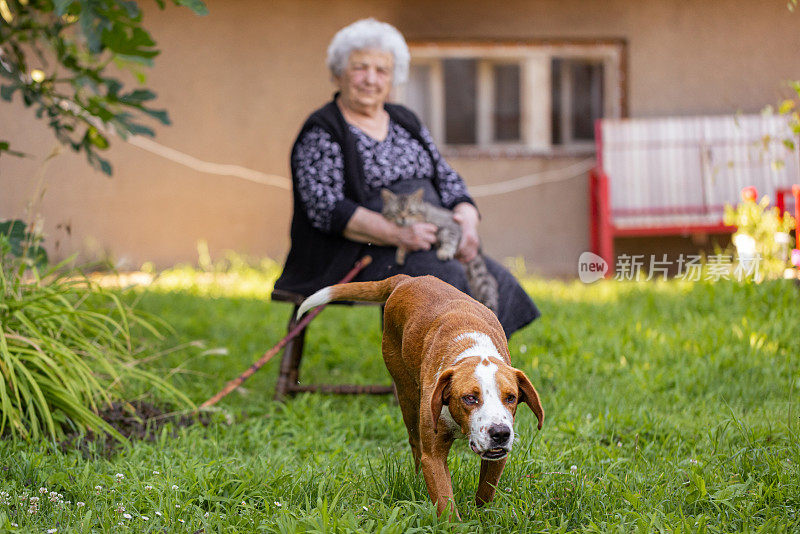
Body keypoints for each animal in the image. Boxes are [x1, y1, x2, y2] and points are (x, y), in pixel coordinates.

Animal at [296, 276, 548, 520]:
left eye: (511, 397)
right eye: (469, 398)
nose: (500, 433)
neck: (471, 349)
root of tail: (405, 279)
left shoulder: (497, 457)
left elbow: (486, 491)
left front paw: (481, 517)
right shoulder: (433, 456)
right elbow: (445, 503)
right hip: (407, 396)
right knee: (414, 442)